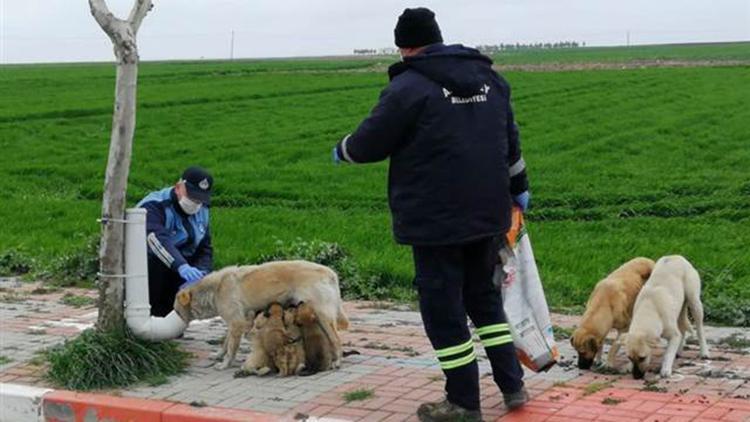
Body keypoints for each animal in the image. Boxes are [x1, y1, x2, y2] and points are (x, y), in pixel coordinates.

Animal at [173, 260, 350, 370]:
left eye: (177, 311)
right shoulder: (235, 323)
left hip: (322, 315)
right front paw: (219, 355)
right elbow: (225, 343)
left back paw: (338, 361)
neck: (215, 289)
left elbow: (231, 348)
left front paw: (225, 364)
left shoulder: (236, 323)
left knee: (336, 340)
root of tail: (329, 272)